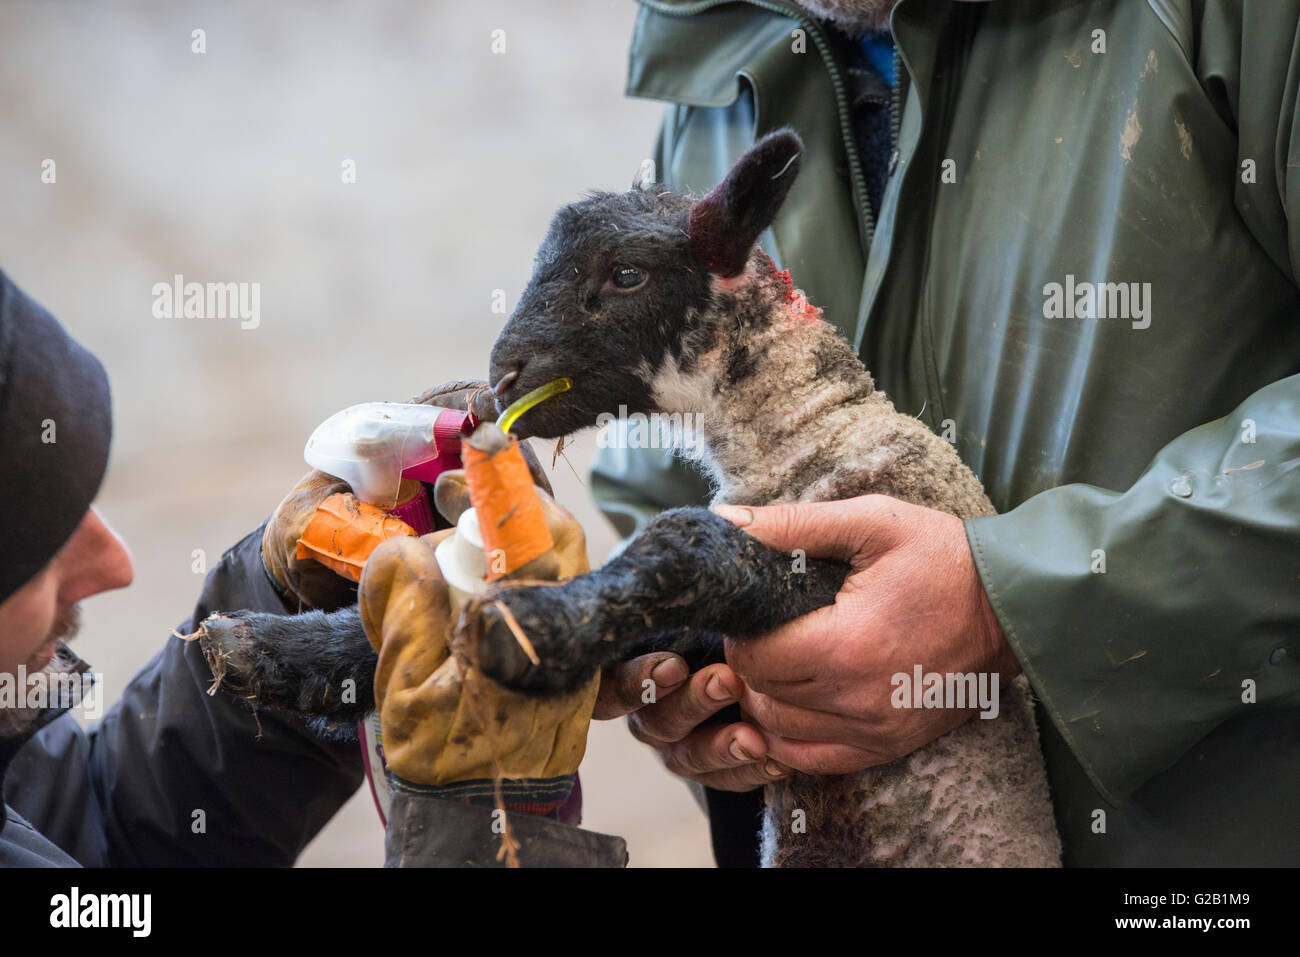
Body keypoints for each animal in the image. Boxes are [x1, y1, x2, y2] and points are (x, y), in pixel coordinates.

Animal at [200, 130, 1055, 868]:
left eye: (627, 275)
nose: (502, 379)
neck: (814, 430)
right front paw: (268, 650)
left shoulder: (837, 577)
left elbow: (688, 547)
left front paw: (531, 631)